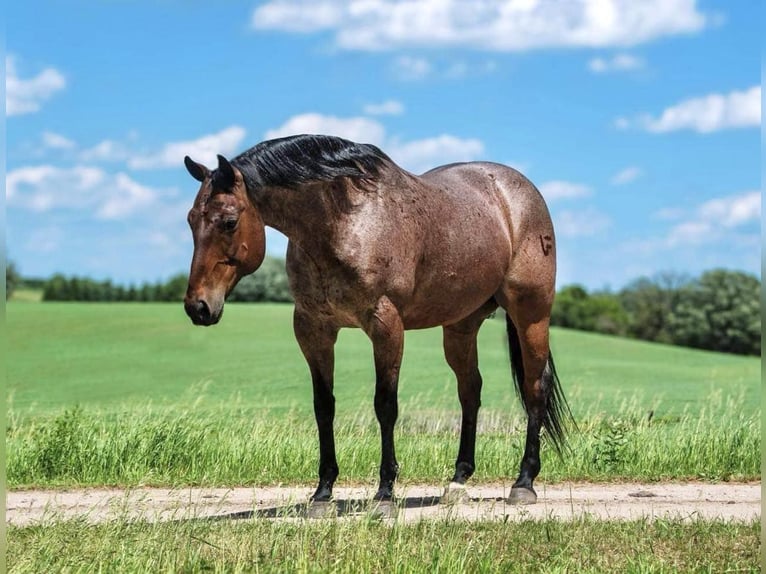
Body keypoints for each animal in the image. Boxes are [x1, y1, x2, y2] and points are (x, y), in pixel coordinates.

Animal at [183, 134, 572, 508]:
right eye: (190, 220)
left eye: (229, 222)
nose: (197, 307)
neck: (344, 223)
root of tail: (518, 191)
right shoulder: (313, 329)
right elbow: (324, 406)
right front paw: (323, 492)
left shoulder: (385, 325)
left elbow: (385, 405)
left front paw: (385, 492)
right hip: (460, 327)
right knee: (470, 391)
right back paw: (458, 480)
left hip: (531, 314)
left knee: (535, 388)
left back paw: (523, 483)